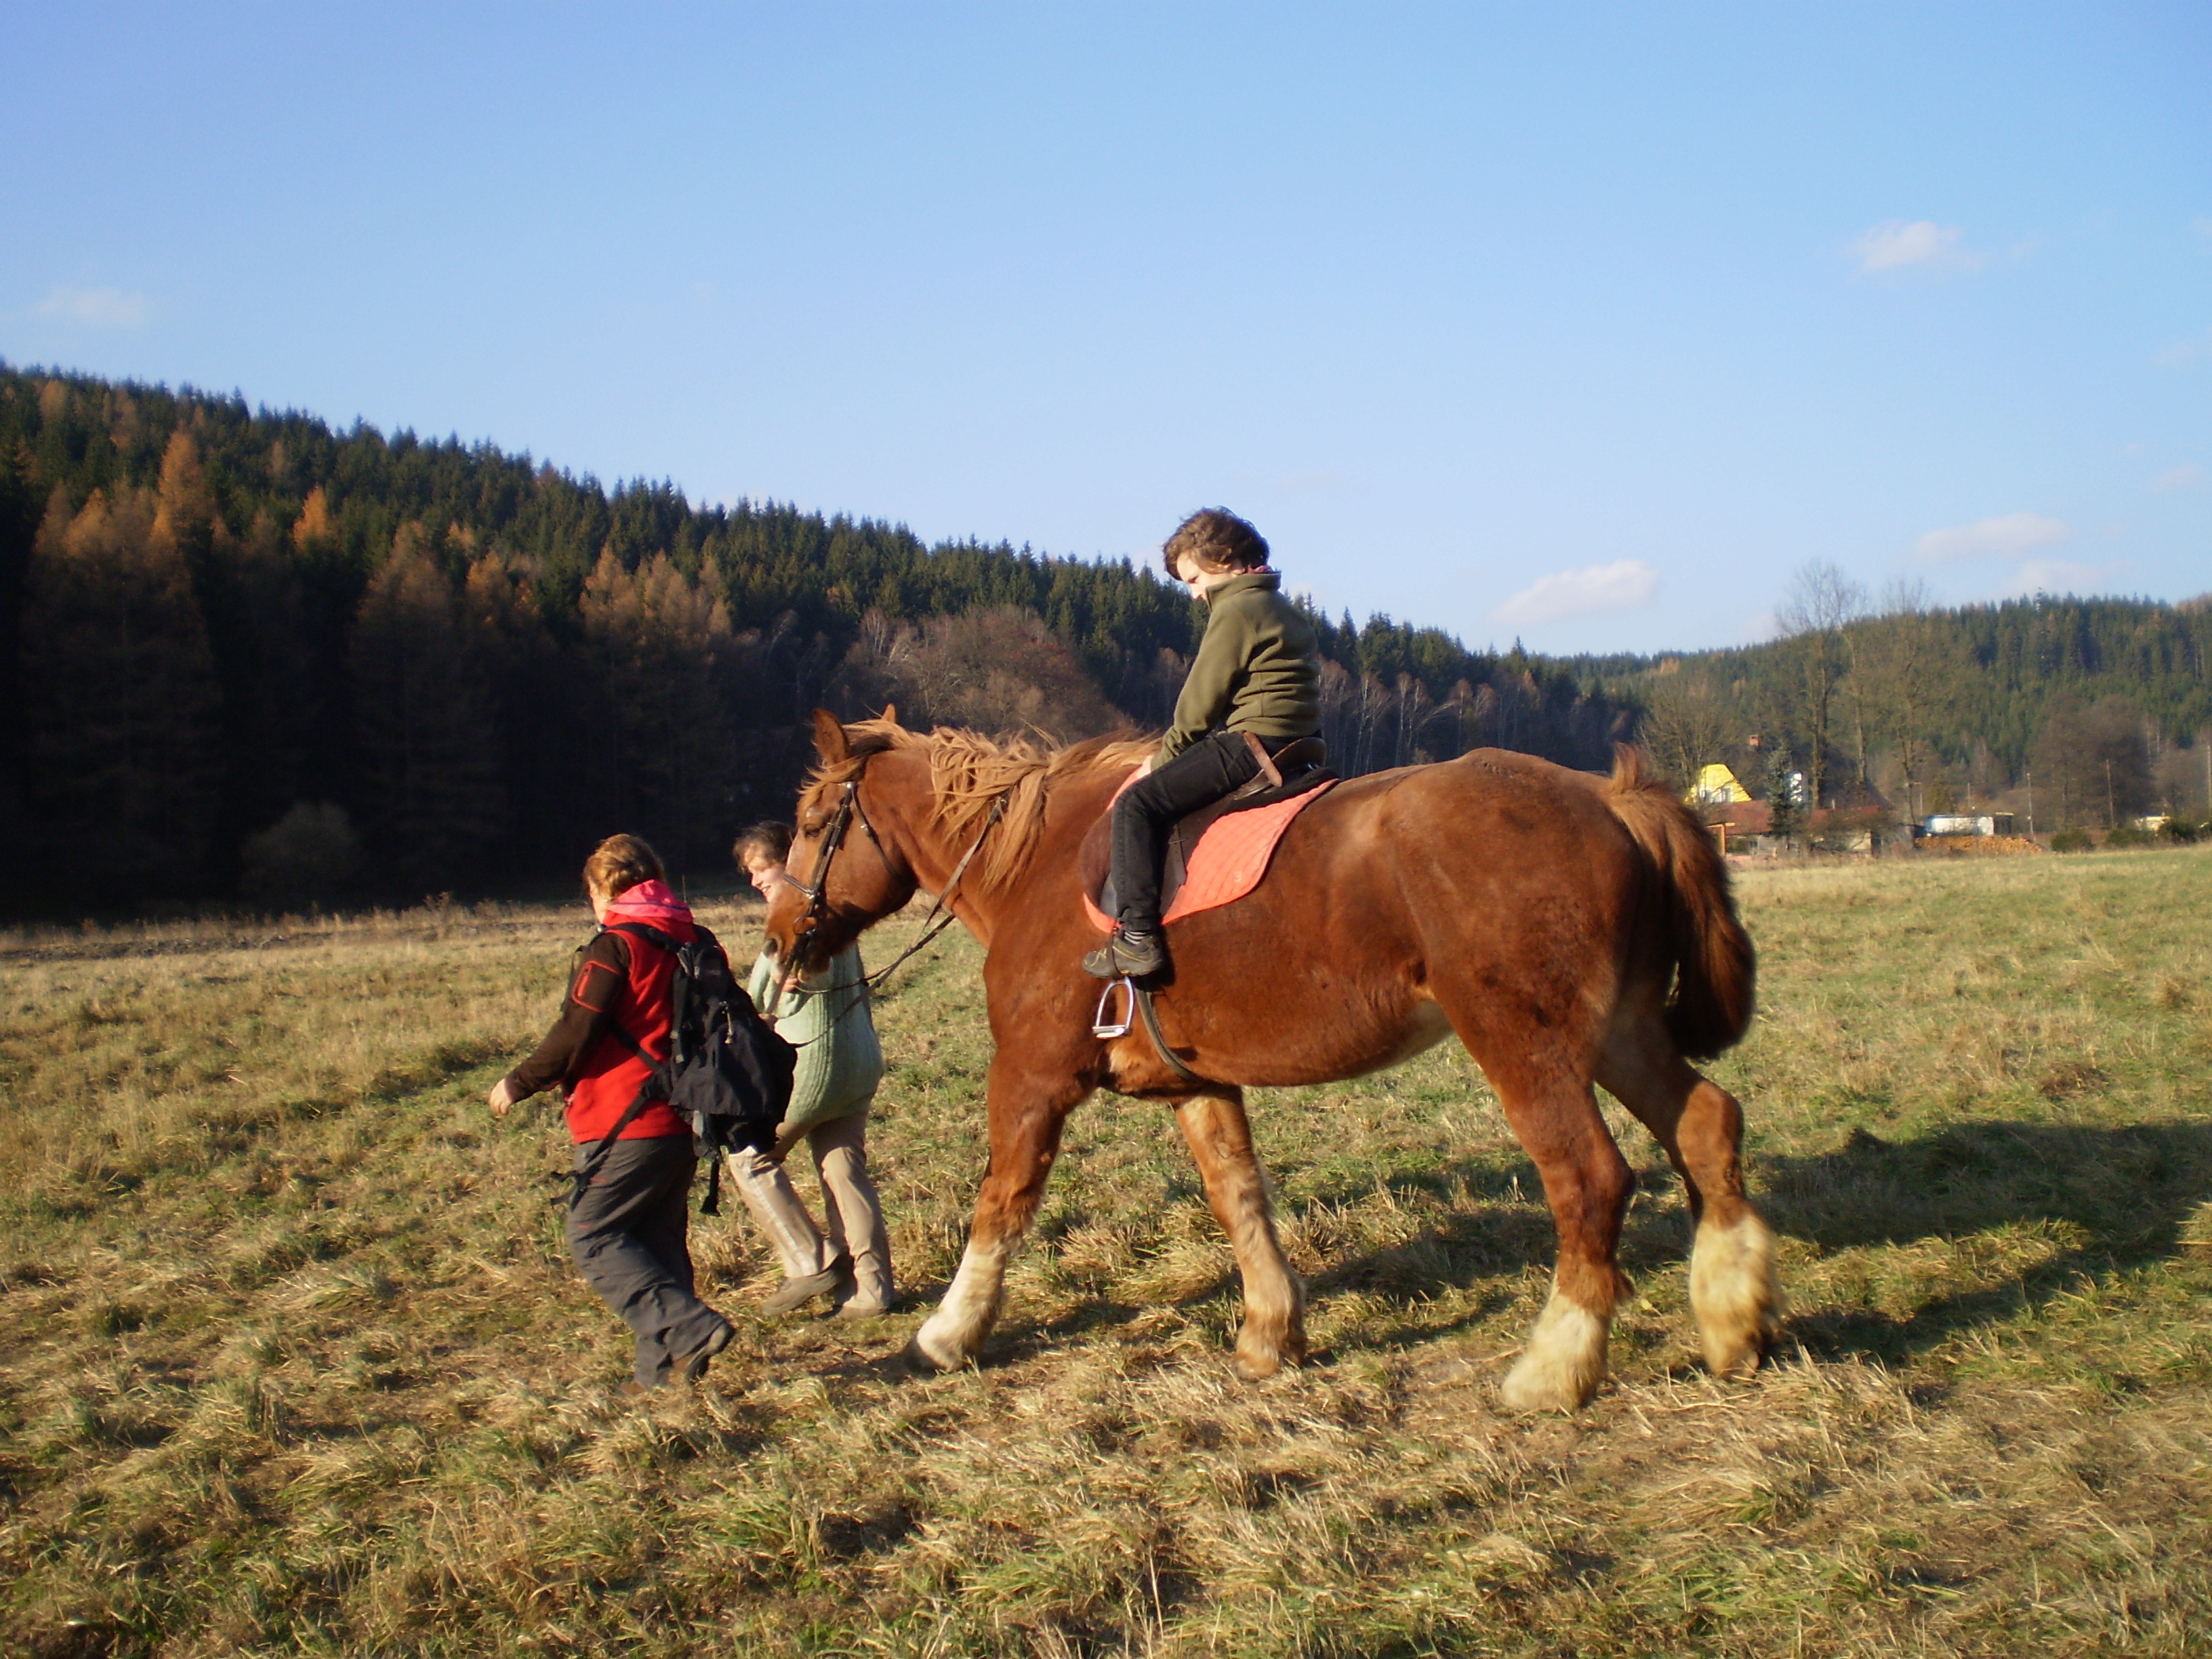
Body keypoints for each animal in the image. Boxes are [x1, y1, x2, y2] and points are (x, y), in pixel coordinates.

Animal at [765, 716, 1778, 1415]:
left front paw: (949, 1332)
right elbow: (1239, 1197)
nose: (778, 943)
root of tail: (1611, 798)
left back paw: (1555, 1366)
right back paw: (1734, 1320)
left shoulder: (1030, 1080)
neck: (1037, 865)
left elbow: (1001, 1203)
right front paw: (1269, 1331)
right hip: (1619, 1033)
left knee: (1590, 1179)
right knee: (1705, 1126)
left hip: (1529, 1048)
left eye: (814, 821)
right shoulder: (1198, 1084)